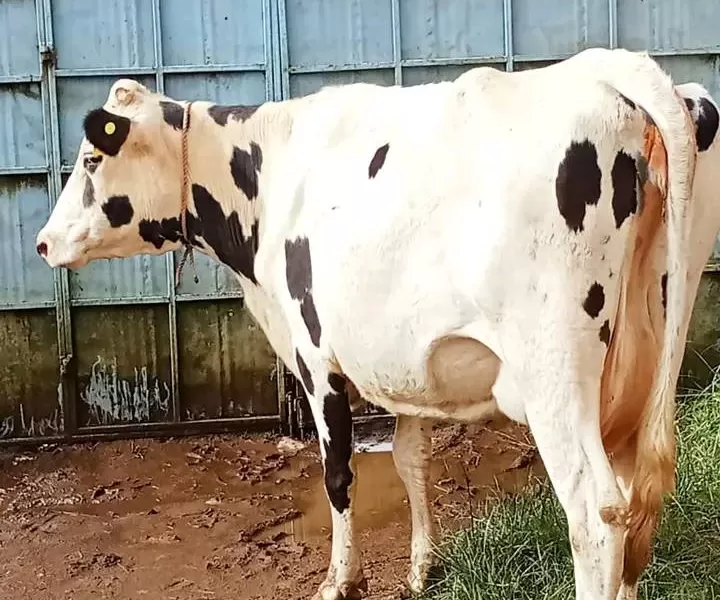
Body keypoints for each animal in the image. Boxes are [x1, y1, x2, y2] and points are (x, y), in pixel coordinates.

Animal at [33, 48, 720, 600]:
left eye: (91, 158)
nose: (42, 242)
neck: (267, 173)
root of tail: (612, 71)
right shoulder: (408, 361)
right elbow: (411, 457)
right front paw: (422, 569)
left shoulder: (315, 355)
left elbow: (338, 474)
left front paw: (341, 579)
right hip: (649, 348)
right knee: (630, 502)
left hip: (555, 371)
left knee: (594, 511)